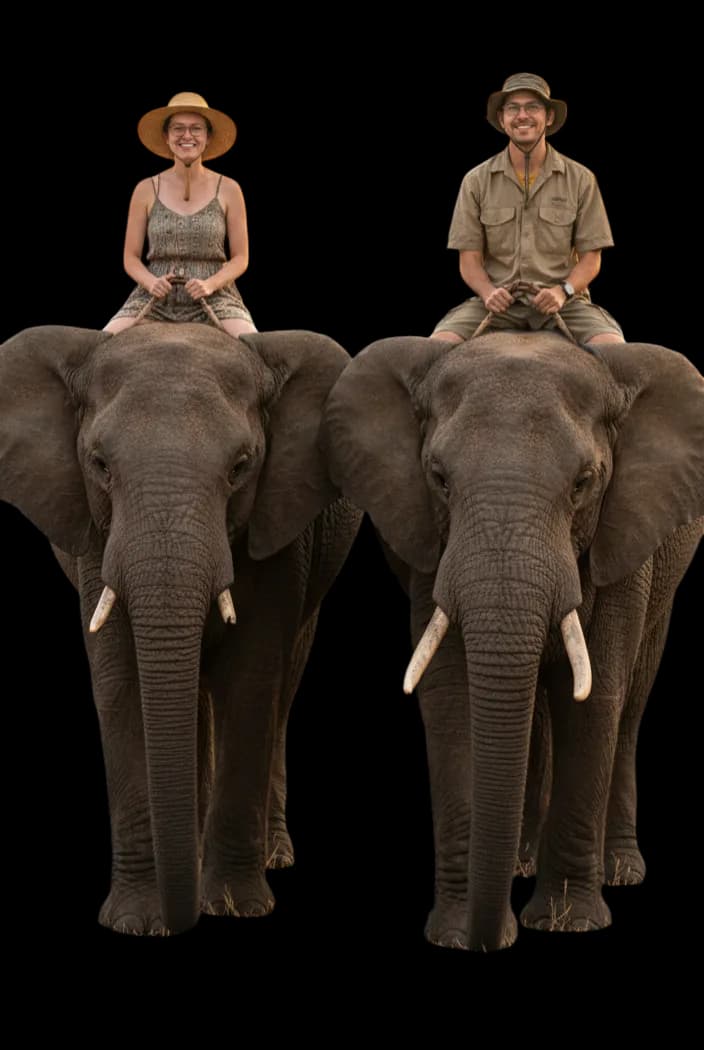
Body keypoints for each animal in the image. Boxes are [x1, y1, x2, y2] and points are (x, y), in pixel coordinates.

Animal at [0, 321, 362, 936]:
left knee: (283, 685)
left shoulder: (280, 525)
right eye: (99, 464)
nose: (183, 917)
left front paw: (235, 907)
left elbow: (252, 678)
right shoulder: (96, 536)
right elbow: (120, 684)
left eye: (241, 466)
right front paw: (138, 920)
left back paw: (271, 856)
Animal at [322, 330, 704, 952]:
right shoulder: (429, 544)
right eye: (439, 479)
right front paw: (457, 933)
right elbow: (451, 697)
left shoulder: (623, 533)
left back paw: (619, 870)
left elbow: (596, 696)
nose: (489, 941)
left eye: (583, 484)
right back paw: (522, 862)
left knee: (630, 702)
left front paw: (567, 922)